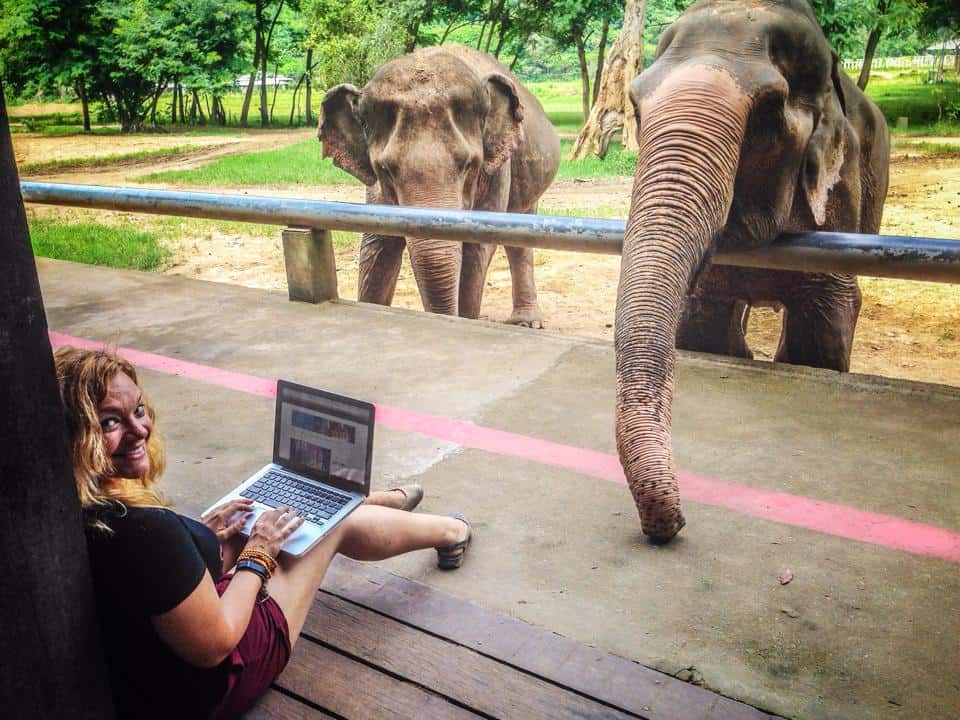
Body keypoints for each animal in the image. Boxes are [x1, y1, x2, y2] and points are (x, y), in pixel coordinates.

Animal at [320, 45, 564, 326]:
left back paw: (526, 322)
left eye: (469, 165)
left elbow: (476, 249)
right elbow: (379, 244)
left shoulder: (498, 170)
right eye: (385, 169)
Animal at [616, 0, 892, 540]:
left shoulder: (841, 192)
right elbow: (704, 324)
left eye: (767, 112)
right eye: (636, 107)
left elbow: (823, 328)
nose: (673, 522)